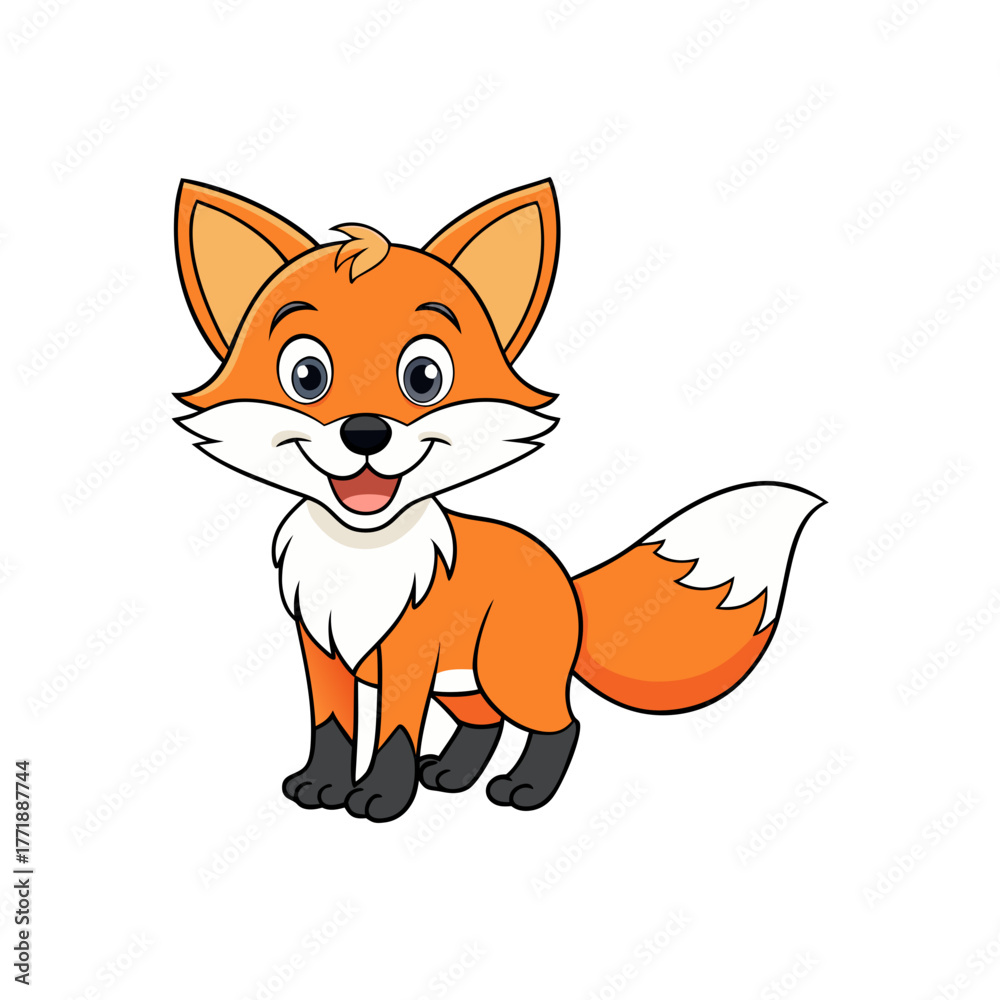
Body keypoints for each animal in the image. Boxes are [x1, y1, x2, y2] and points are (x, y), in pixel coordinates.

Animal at [173, 178, 824, 822]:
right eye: (306, 375)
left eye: (424, 377)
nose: (365, 432)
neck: (362, 556)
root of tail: (565, 577)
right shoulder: (322, 650)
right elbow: (331, 726)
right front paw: (322, 787)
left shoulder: (409, 656)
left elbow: (393, 734)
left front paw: (382, 798)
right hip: (465, 683)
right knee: (485, 724)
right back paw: (452, 774)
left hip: (508, 673)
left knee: (564, 724)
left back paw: (525, 789)